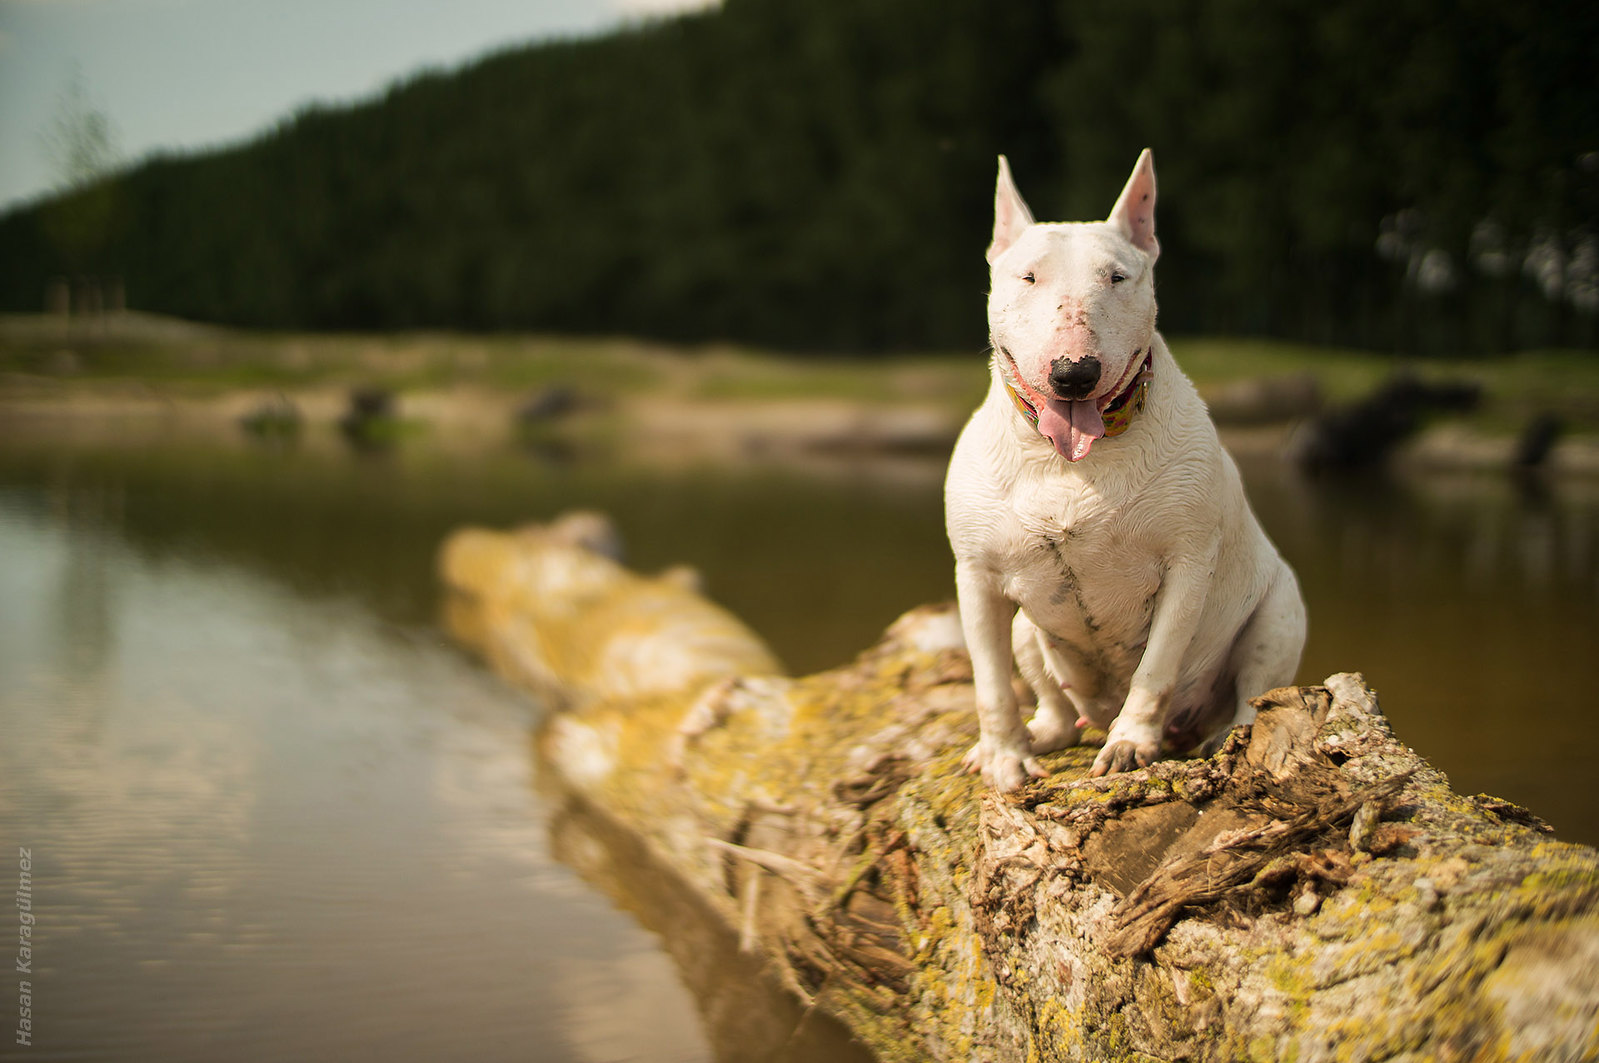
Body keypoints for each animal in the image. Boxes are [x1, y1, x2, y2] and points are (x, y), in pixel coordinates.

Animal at [940, 153, 1304, 792]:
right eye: (1027, 278)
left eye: (1117, 277)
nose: (1074, 373)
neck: (1067, 461)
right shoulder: (977, 576)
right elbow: (990, 684)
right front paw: (1004, 755)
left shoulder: (1187, 564)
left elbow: (1156, 668)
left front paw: (1131, 745)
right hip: (1028, 631)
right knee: (1057, 705)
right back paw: (1043, 734)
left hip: (1281, 614)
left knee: (1254, 694)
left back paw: (1222, 737)